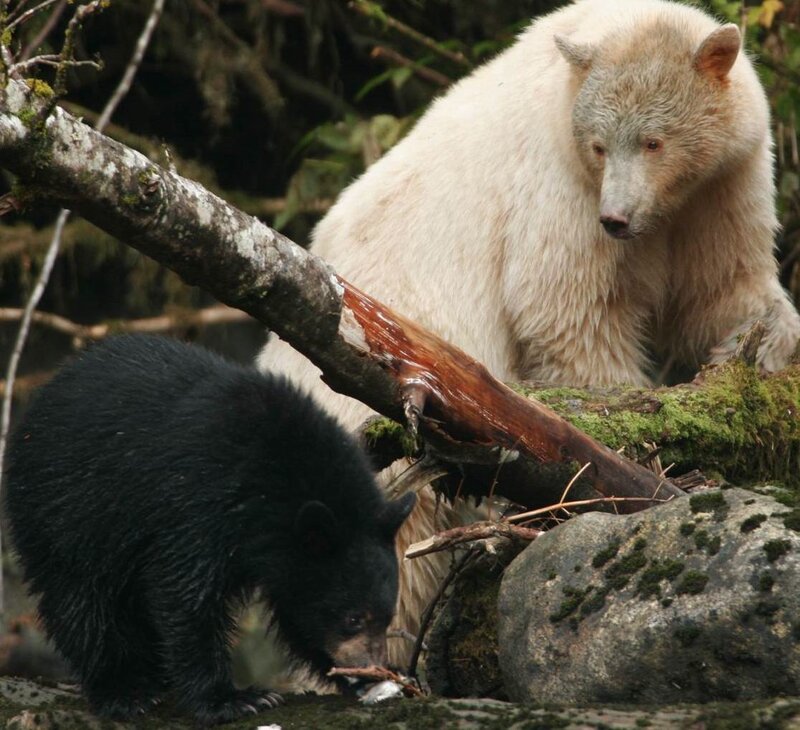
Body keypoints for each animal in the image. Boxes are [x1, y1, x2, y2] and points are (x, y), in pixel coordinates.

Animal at [3, 334, 416, 725]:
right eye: (353, 618)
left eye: (386, 616)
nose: (370, 668)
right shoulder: (198, 503)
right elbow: (185, 594)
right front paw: (234, 700)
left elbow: (298, 608)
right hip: (66, 506)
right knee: (80, 596)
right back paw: (125, 689)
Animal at [258, 0, 800, 665]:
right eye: (599, 145)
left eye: (654, 140)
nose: (617, 218)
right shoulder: (559, 191)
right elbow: (571, 314)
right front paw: (629, 439)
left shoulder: (722, 185)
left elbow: (722, 287)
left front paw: (762, 342)